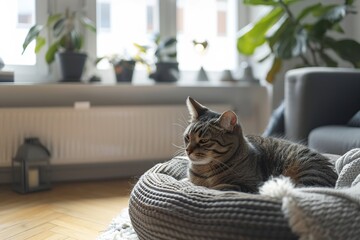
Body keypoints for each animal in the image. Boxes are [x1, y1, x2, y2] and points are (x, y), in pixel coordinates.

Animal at [183, 96, 338, 192]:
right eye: (187, 137)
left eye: (203, 141)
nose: (187, 150)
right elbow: (187, 180)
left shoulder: (248, 185)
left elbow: (216, 187)